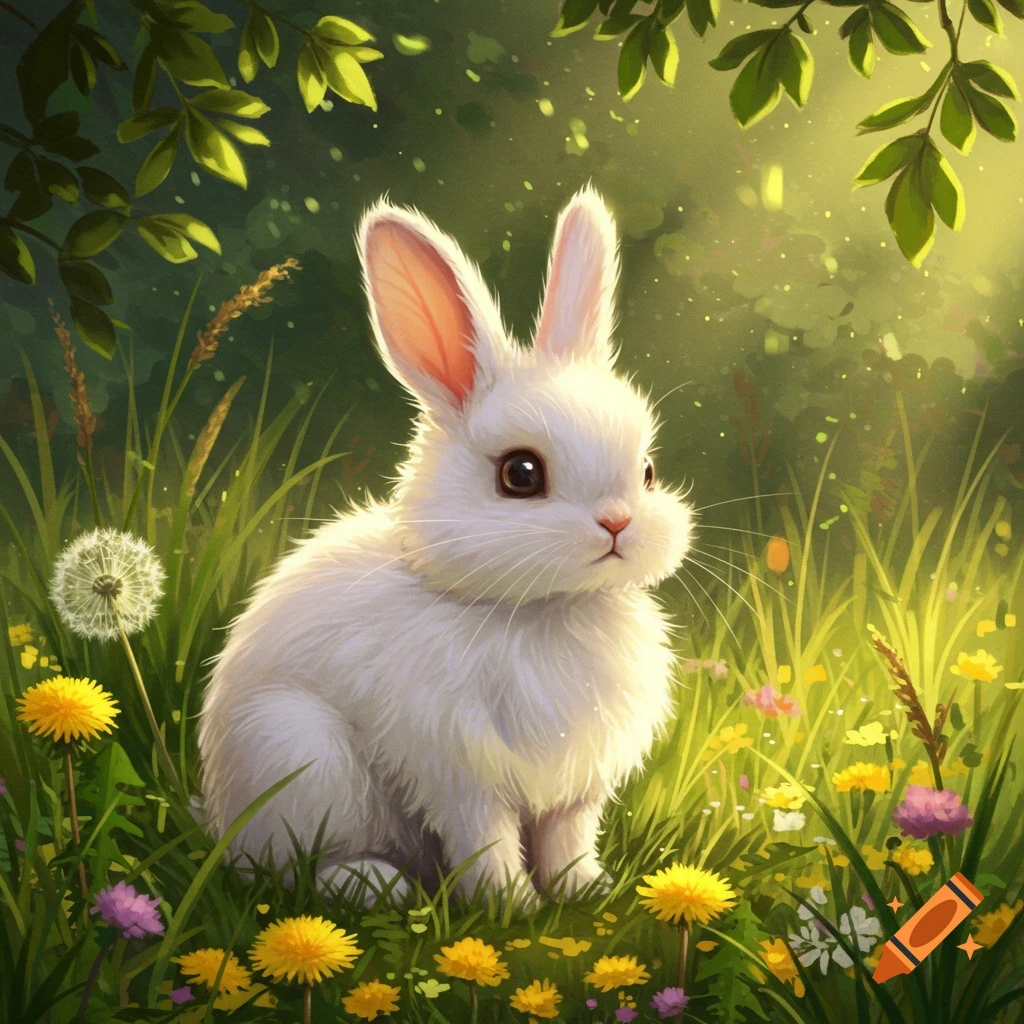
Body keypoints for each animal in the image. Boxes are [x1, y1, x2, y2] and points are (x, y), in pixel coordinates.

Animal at [197, 184, 694, 912]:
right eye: (521, 474)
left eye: (650, 471)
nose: (619, 524)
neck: (547, 610)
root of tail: (216, 811)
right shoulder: (457, 772)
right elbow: (486, 840)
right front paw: (512, 906)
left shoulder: (574, 789)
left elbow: (567, 839)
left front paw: (587, 893)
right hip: (299, 759)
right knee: (282, 870)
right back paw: (374, 884)